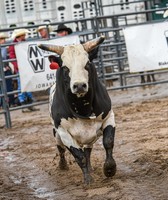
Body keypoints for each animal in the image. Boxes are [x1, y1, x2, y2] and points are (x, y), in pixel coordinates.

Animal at [38, 36, 116, 184]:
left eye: (87, 64)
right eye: (65, 68)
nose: (79, 85)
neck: (82, 106)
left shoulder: (109, 117)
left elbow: (108, 142)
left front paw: (109, 169)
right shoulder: (63, 132)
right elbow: (79, 156)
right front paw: (88, 180)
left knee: (88, 149)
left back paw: (90, 167)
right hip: (57, 134)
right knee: (61, 149)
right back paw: (63, 165)